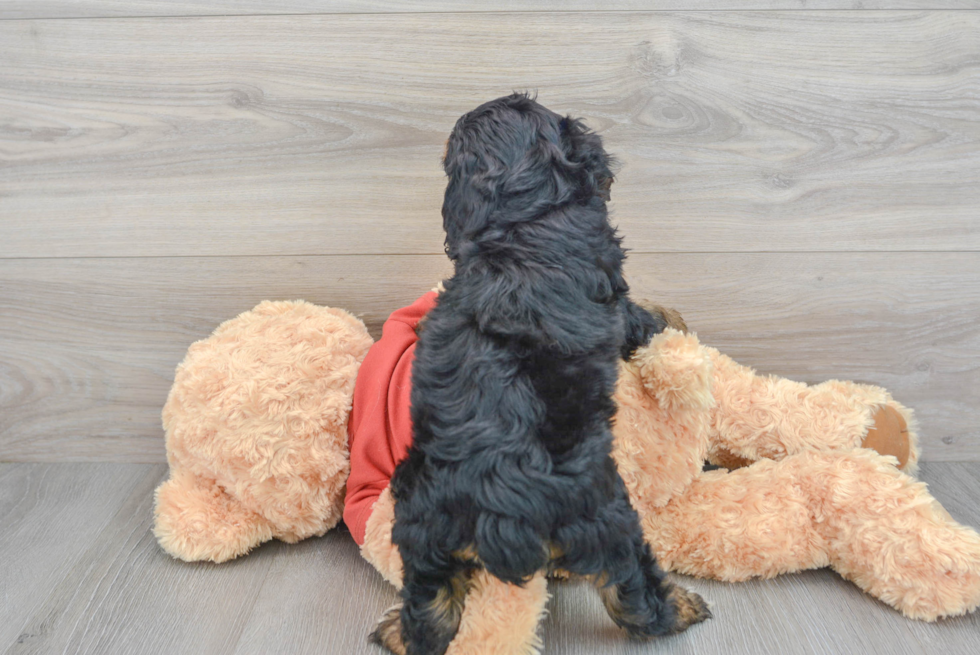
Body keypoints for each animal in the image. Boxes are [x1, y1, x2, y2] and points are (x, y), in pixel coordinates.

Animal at [372, 93, 708, 655]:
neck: (523, 212)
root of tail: (502, 499)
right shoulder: (615, 296)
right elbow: (643, 314)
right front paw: (674, 317)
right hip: (607, 518)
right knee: (635, 595)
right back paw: (683, 608)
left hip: (424, 527)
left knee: (431, 610)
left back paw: (398, 631)